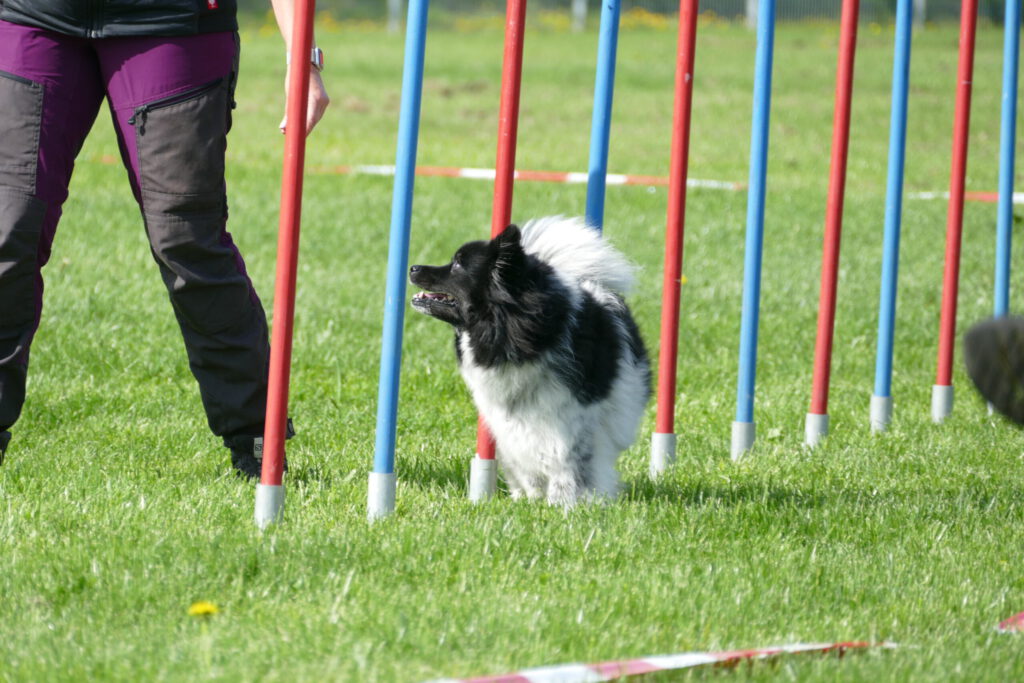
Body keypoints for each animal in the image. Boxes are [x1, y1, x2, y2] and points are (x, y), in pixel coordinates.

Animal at [409, 216, 650, 505]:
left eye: (458, 264)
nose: (412, 267)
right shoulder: (508, 418)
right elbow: (524, 463)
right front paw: (530, 500)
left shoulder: (572, 416)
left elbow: (569, 463)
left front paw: (565, 504)